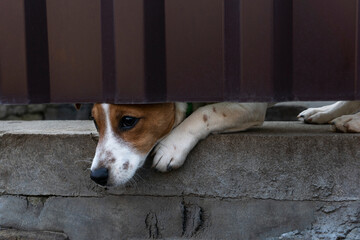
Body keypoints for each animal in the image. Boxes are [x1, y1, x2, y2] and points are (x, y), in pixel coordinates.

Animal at [88, 100, 360, 187]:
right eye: (94, 122)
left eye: (128, 121)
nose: (97, 176)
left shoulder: (251, 105)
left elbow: (208, 112)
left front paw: (171, 146)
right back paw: (324, 113)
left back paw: (352, 121)